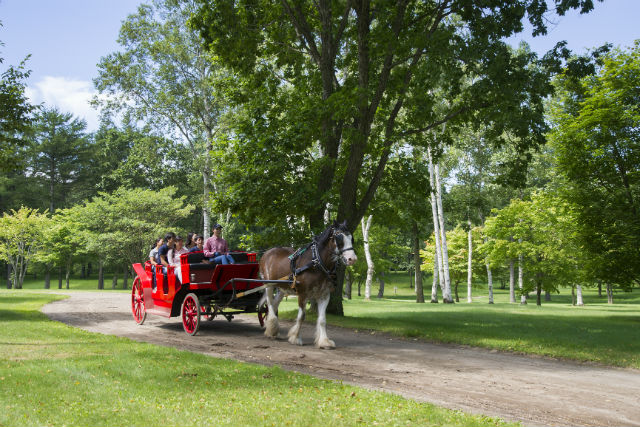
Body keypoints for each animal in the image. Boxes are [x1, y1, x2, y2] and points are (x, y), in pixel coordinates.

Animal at [260, 222, 360, 350]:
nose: (352, 259)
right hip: (268, 284)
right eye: (339, 238)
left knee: (274, 304)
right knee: (270, 304)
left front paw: (324, 342)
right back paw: (272, 328)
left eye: (351, 238)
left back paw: (272, 330)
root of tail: (267, 252)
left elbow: (322, 319)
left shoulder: (324, 295)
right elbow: (301, 316)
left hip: (282, 288)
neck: (317, 262)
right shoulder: (303, 294)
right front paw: (295, 338)